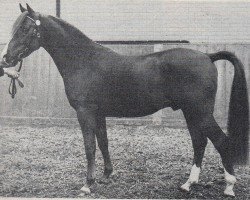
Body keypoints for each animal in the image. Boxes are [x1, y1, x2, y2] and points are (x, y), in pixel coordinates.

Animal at [1, 4, 248, 197]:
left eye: (25, 28)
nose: (5, 59)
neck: (84, 60)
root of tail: (208, 56)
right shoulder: (99, 113)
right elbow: (103, 142)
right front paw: (107, 175)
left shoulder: (85, 112)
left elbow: (90, 146)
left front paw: (87, 184)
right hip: (191, 112)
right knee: (200, 142)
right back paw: (188, 184)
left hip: (200, 112)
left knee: (220, 141)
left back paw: (229, 187)